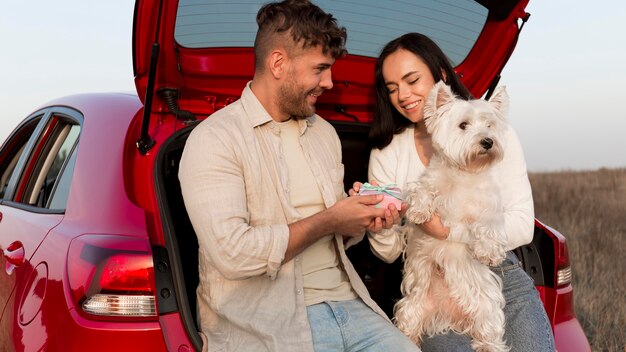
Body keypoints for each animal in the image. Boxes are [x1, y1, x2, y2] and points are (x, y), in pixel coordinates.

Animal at [394, 81, 512, 350]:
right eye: (463, 125)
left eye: (489, 125)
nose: (487, 141)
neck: (466, 172)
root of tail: (449, 314)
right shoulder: (428, 183)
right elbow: (421, 191)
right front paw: (419, 211)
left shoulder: (489, 208)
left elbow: (489, 224)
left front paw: (488, 251)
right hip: (412, 305)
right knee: (408, 324)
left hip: (487, 307)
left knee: (489, 332)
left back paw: (487, 346)